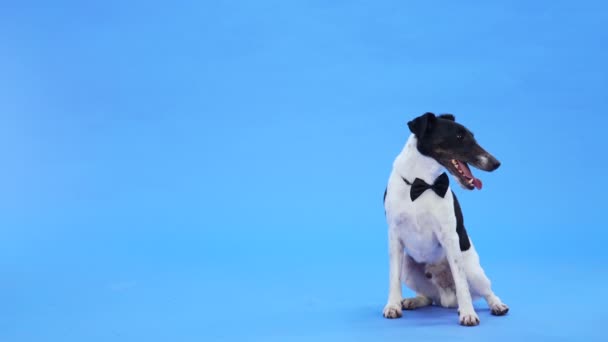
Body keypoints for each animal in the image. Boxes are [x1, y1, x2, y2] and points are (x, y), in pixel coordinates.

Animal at [384, 112, 508, 326]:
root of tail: (446, 297)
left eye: (472, 136)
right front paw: (393, 306)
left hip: (474, 271)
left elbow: (461, 282)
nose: (496, 163)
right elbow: (393, 278)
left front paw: (468, 313)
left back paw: (497, 305)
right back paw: (413, 301)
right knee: (429, 298)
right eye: (459, 137)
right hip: (408, 266)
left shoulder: (449, 237)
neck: (423, 183)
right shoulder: (394, 237)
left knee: (487, 291)